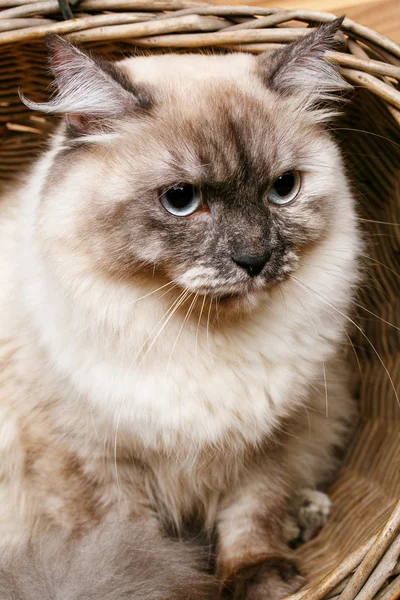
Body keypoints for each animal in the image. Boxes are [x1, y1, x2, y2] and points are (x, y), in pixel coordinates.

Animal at [0, 17, 360, 600]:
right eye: (181, 200)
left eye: (283, 189)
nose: (255, 260)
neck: (196, 334)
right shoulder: (88, 462)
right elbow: (131, 549)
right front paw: (170, 585)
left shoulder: (272, 441)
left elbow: (252, 516)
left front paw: (260, 579)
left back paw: (306, 515)